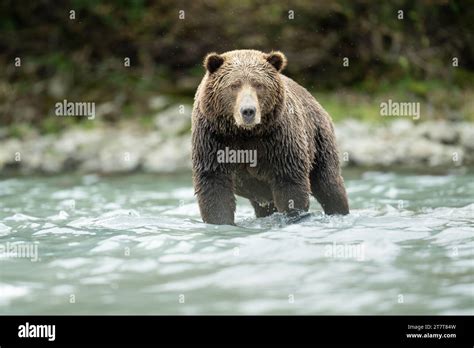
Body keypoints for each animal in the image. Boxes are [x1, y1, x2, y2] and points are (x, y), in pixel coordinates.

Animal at [192, 49, 348, 226]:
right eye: (234, 85)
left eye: (259, 85)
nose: (248, 111)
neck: (245, 133)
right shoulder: (214, 139)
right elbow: (214, 186)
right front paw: (221, 222)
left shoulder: (278, 138)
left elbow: (290, 184)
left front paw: (292, 216)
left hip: (318, 139)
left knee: (329, 184)